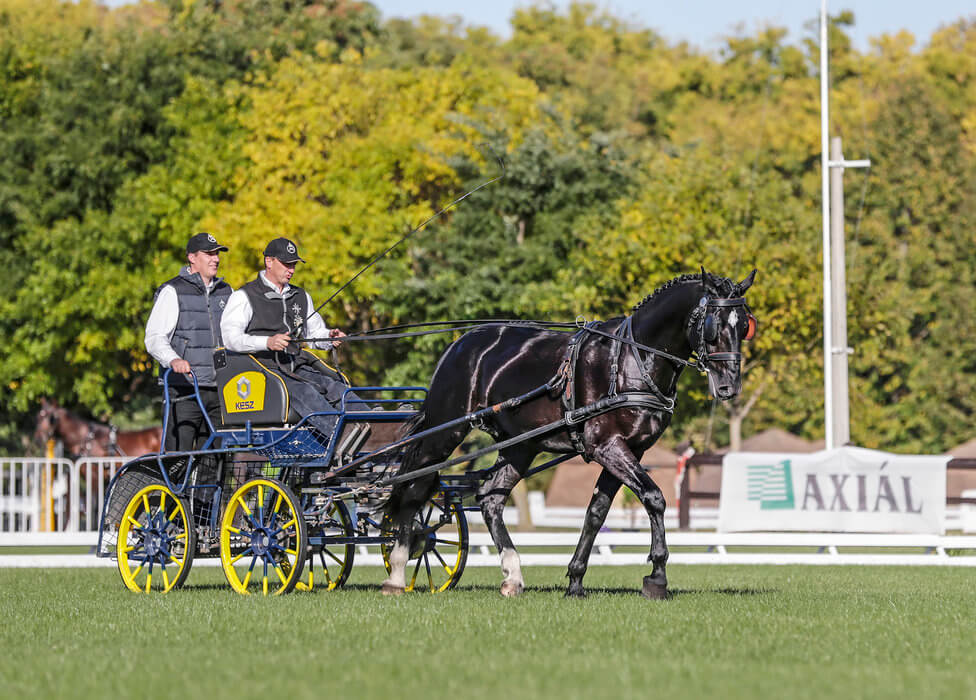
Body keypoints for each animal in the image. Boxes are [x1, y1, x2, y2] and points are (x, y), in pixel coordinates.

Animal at [381, 268, 758, 599]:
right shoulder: (607, 445)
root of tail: (460, 343)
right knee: (413, 489)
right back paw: (397, 571)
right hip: (445, 431)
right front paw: (657, 576)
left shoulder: (630, 450)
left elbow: (596, 512)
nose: (729, 386)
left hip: (521, 445)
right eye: (713, 326)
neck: (632, 358)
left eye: (745, 326)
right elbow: (654, 497)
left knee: (490, 498)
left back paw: (512, 576)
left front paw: (576, 580)